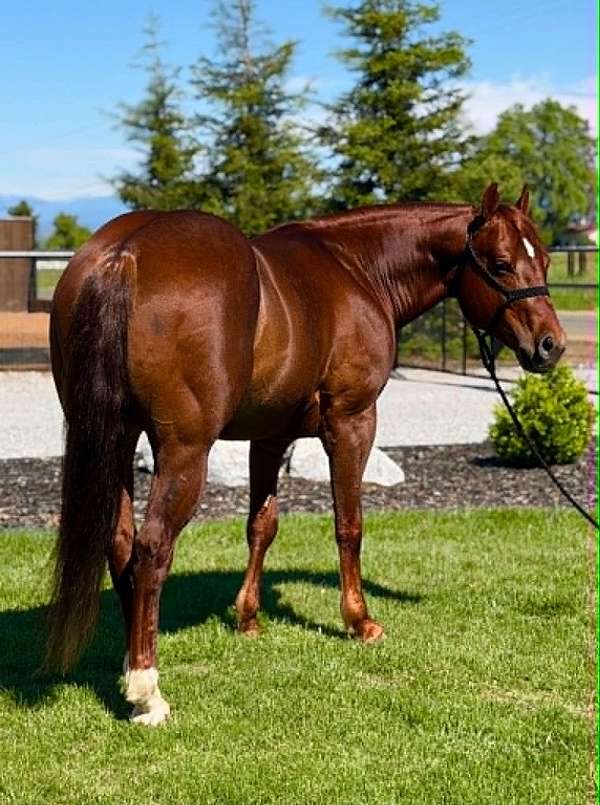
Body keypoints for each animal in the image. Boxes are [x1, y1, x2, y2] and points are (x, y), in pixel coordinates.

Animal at [47, 182, 565, 724]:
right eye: (502, 264)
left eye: (546, 258)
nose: (551, 345)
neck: (358, 268)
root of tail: (125, 254)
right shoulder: (352, 421)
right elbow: (349, 525)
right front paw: (360, 621)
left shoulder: (270, 435)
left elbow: (262, 526)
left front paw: (248, 618)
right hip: (184, 450)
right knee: (152, 549)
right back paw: (147, 689)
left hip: (118, 437)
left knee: (121, 542)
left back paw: (132, 661)